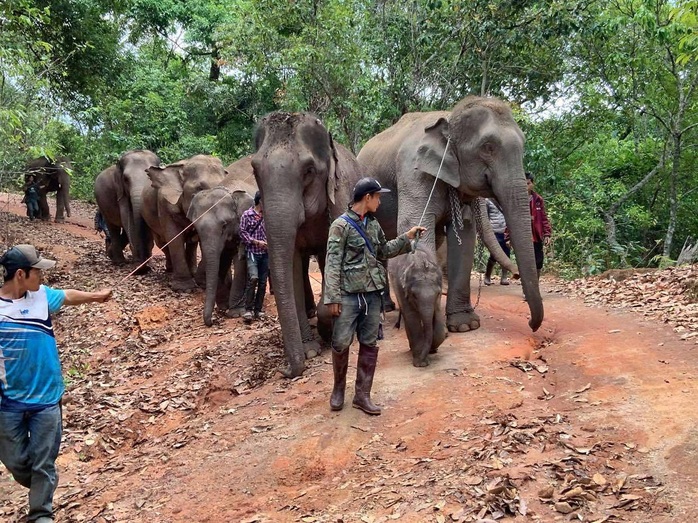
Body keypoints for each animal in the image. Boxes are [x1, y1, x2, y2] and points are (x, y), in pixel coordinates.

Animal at [142, 154, 226, 292]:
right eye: (200, 188)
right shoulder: (164, 204)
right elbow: (174, 237)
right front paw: (184, 288)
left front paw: (201, 282)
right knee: (161, 242)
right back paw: (170, 270)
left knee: (192, 243)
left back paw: (192, 271)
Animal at [188, 156, 256, 328]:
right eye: (196, 228)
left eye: (224, 225)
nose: (212, 321)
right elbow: (221, 260)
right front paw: (223, 307)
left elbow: (241, 260)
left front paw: (235, 313)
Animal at [250, 112, 362, 378]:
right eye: (255, 170)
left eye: (309, 171)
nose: (286, 371)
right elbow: (290, 267)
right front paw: (310, 350)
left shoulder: (341, 200)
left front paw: (330, 331)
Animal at [358, 96, 544, 334]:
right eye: (488, 147)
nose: (531, 324)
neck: (448, 117)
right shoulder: (413, 172)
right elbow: (415, 225)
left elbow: (464, 234)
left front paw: (465, 325)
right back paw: (388, 309)